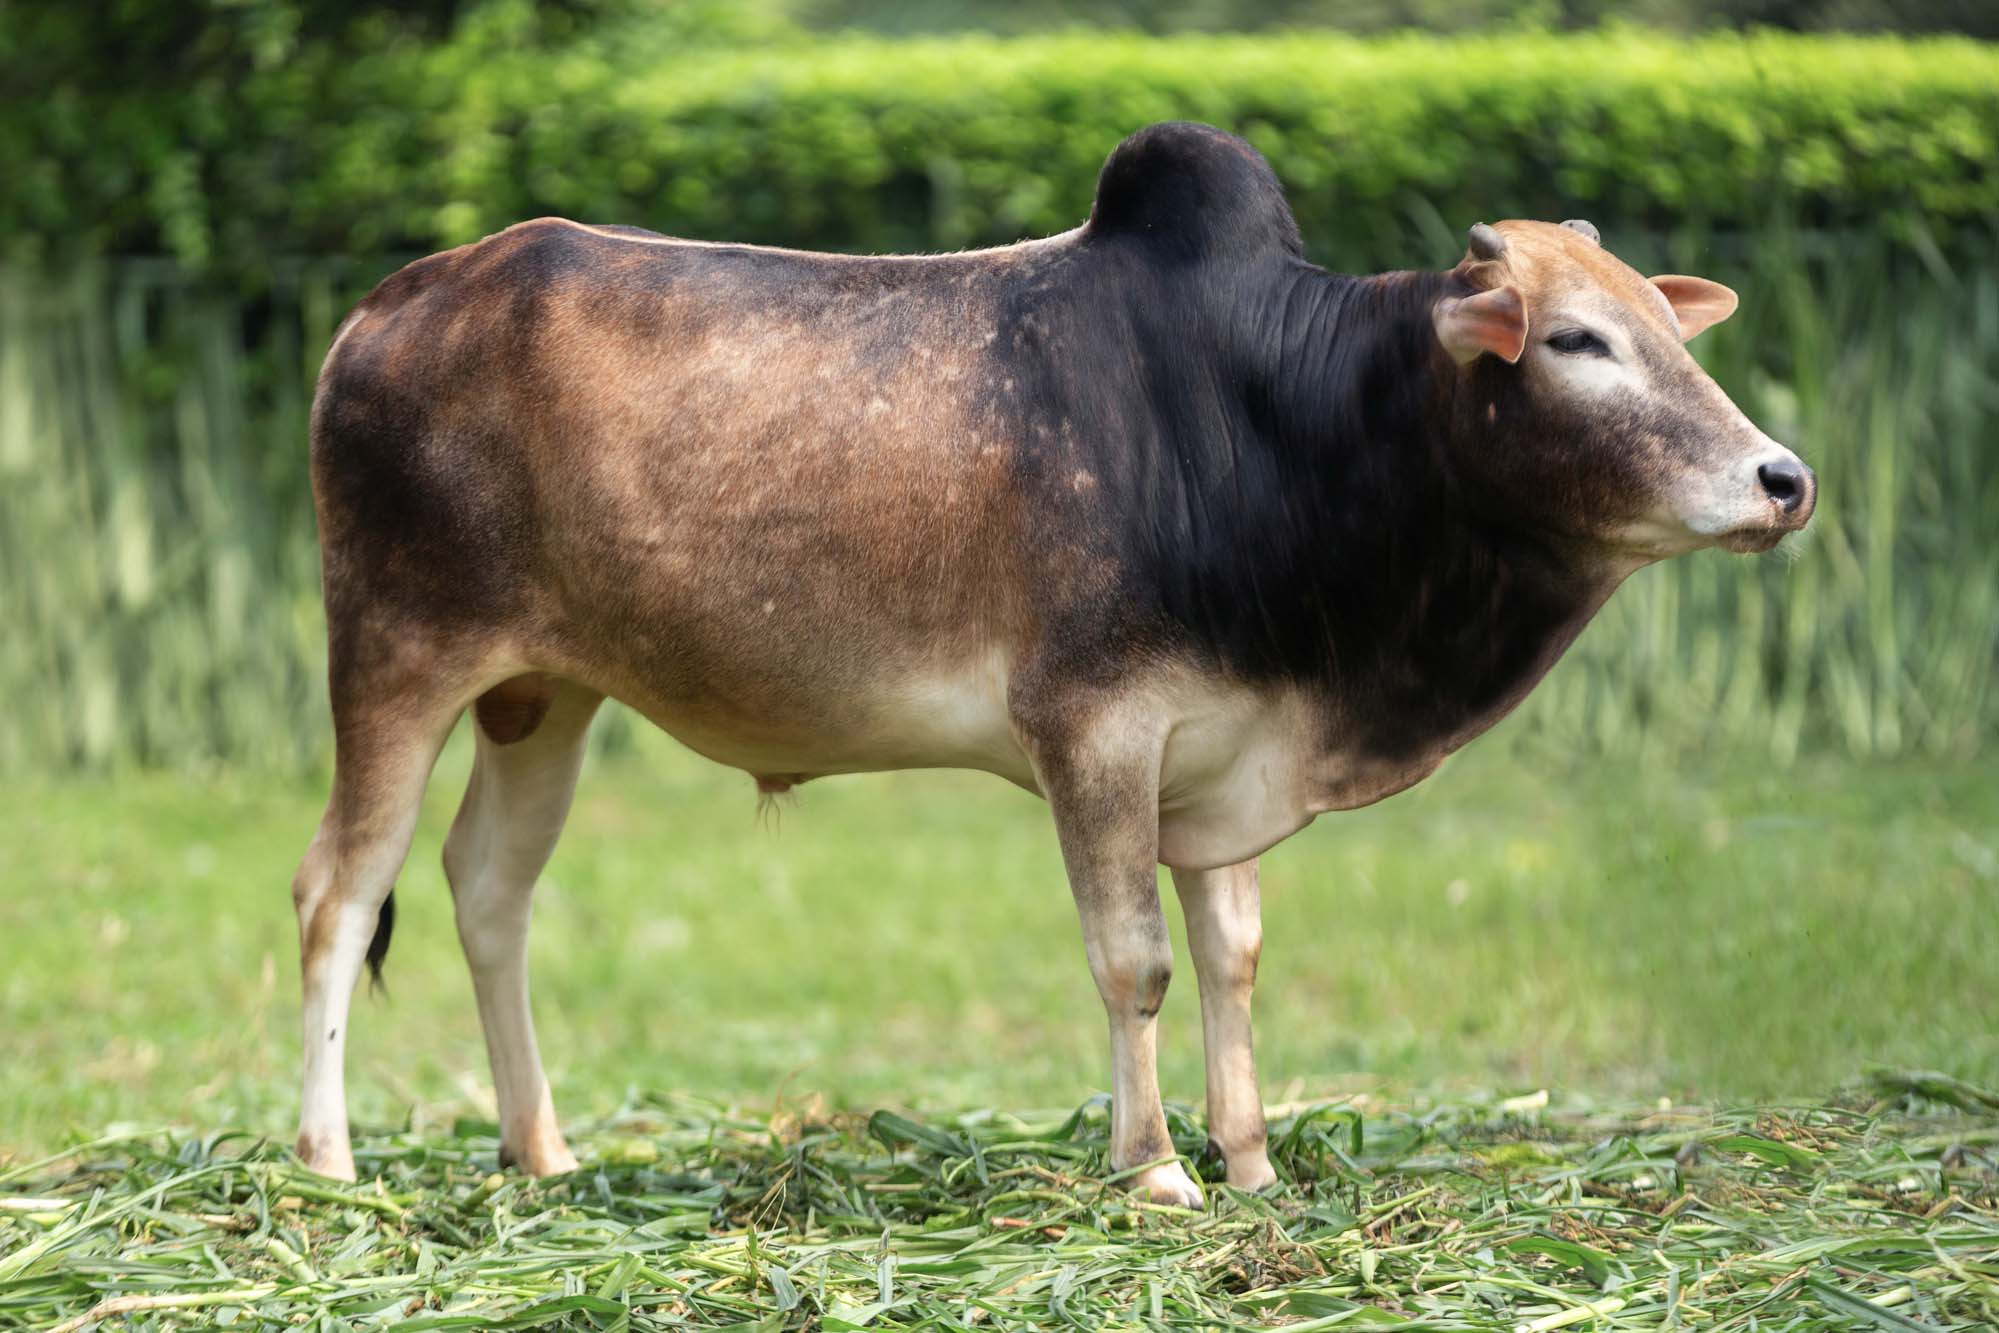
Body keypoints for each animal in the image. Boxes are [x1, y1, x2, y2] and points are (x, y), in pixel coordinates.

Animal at [292, 122, 1814, 1203]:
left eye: (1667, 326)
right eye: (1573, 339)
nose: (1781, 479)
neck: (1282, 420)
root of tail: (388, 304)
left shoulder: (1218, 750)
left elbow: (1233, 956)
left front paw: (1250, 1162)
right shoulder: (1094, 727)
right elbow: (1133, 960)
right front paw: (1152, 1172)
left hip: (542, 696)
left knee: (489, 890)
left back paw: (540, 1151)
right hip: (397, 653)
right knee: (338, 892)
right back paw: (330, 1164)